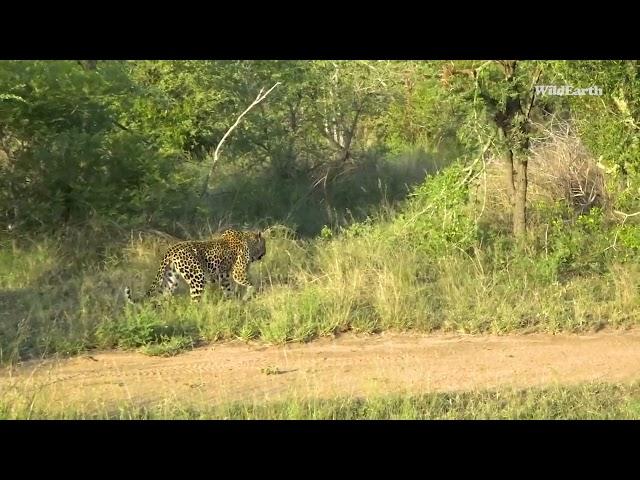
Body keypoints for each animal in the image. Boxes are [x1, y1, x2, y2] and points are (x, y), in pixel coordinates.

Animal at [125, 230, 264, 304]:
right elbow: (253, 283)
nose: (264, 253)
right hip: (197, 278)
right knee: (194, 302)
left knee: (163, 297)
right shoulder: (238, 272)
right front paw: (248, 295)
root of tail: (170, 250)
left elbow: (228, 290)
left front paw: (233, 303)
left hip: (171, 279)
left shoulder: (224, 276)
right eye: (264, 245)